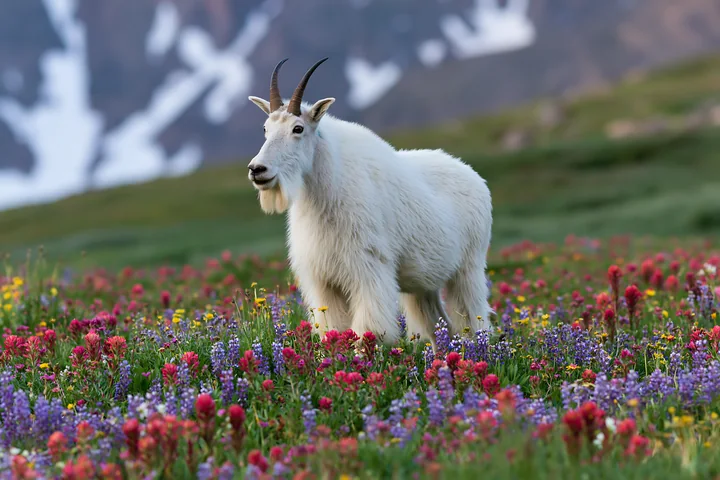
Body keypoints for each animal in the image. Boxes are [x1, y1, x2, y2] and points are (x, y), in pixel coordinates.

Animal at [247, 58, 494, 347]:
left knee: (474, 318)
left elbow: (368, 329)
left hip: (468, 268)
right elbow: (334, 328)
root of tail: (476, 178)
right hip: (423, 285)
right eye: (266, 128)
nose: (257, 169)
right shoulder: (324, 279)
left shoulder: (368, 268)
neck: (325, 191)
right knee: (437, 324)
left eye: (298, 128)